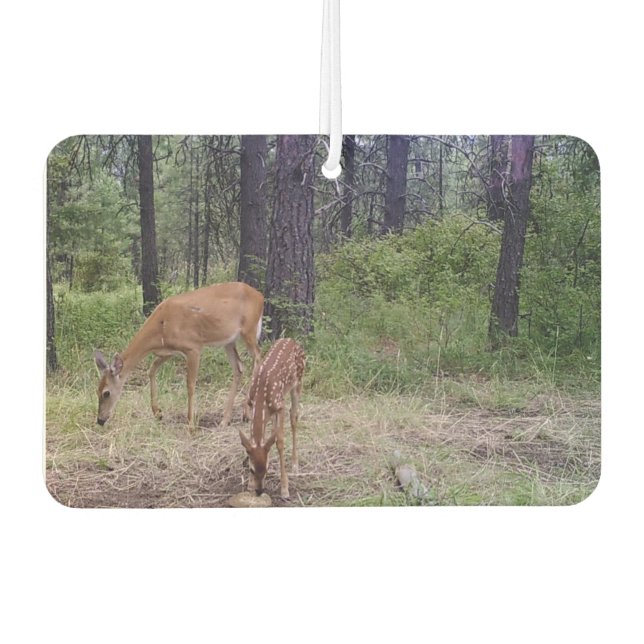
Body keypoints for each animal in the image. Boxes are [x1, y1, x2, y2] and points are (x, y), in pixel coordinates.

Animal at [94, 282, 264, 428]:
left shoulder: (193, 347)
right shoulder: (168, 351)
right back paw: (226, 419)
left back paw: (247, 411)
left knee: (258, 358)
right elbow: (151, 369)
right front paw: (157, 412)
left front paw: (191, 424)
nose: (100, 420)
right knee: (239, 367)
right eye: (97, 390)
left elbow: (190, 385)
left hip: (249, 330)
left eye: (106, 393)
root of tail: (260, 296)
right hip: (229, 341)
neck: (162, 327)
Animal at [239, 338, 306, 499]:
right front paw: (249, 485)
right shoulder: (250, 404)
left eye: (267, 468)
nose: (259, 491)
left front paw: (285, 489)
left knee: (294, 416)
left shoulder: (279, 406)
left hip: (298, 382)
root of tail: (291, 340)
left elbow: (280, 442)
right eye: (251, 469)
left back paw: (295, 465)